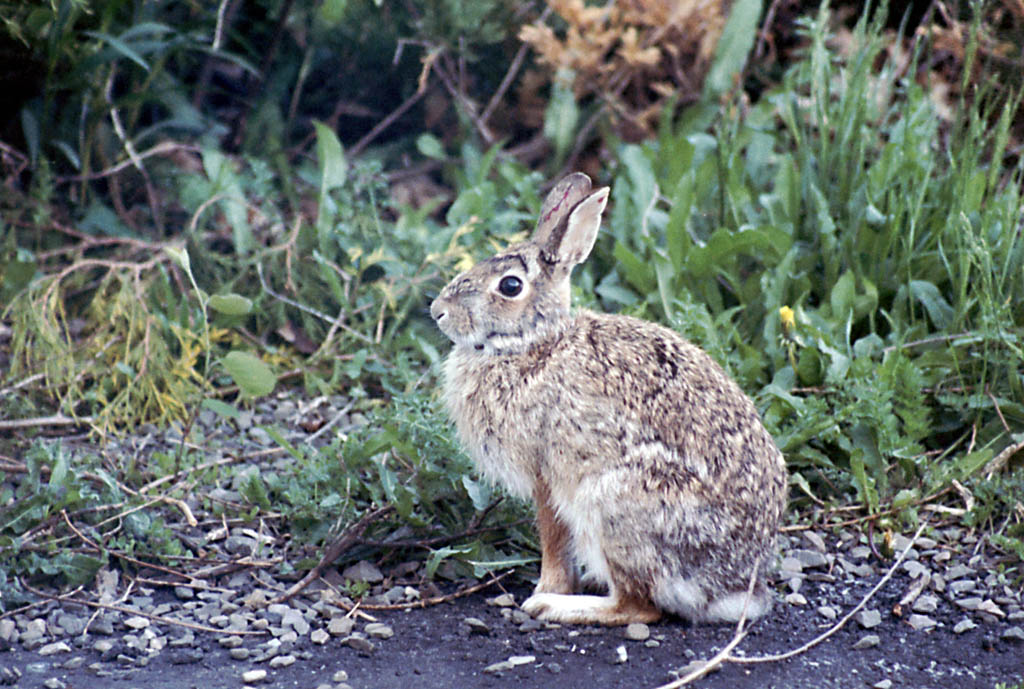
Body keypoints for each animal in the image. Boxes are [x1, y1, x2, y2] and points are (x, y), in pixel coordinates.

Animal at [428, 170, 786, 622]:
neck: (535, 345)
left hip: (612, 505)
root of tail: (732, 588)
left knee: (638, 606)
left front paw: (546, 589)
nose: (438, 311)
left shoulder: (546, 475)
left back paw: (560, 607)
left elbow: (553, 540)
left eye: (510, 286)